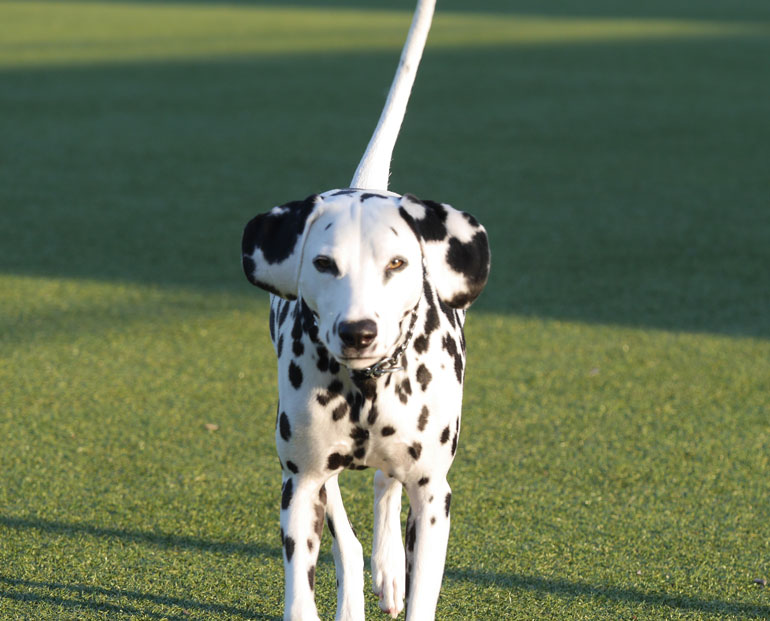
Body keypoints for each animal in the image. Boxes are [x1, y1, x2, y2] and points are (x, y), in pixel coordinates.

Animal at [243, 190, 488, 620]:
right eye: (324, 263)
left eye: (396, 262)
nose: (358, 332)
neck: (366, 387)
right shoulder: (302, 488)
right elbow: (302, 594)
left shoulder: (432, 497)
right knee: (348, 542)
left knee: (384, 485)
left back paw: (388, 567)